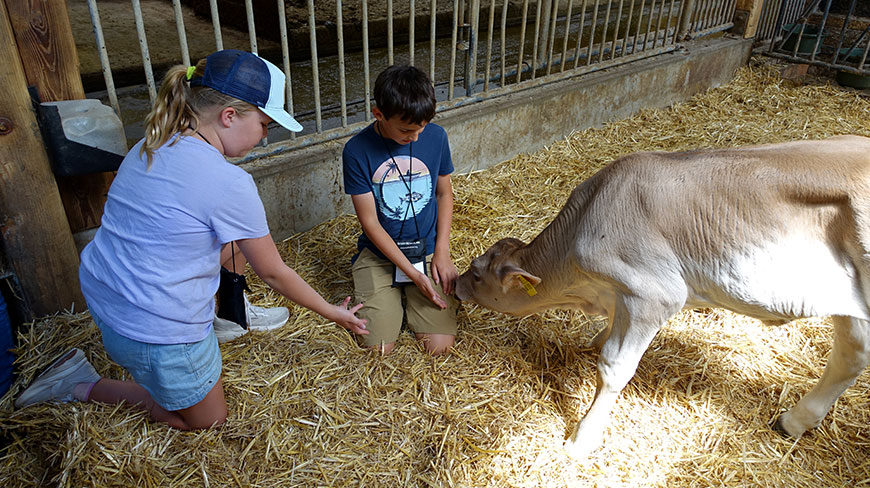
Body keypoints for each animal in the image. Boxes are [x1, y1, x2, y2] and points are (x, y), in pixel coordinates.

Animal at [454, 135, 870, 459]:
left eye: (476, 274)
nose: (454, 284)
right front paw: (593, 341)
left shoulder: (653, 294)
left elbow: (614, 367)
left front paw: (582, 440)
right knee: (851, 355)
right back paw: (793, 421)